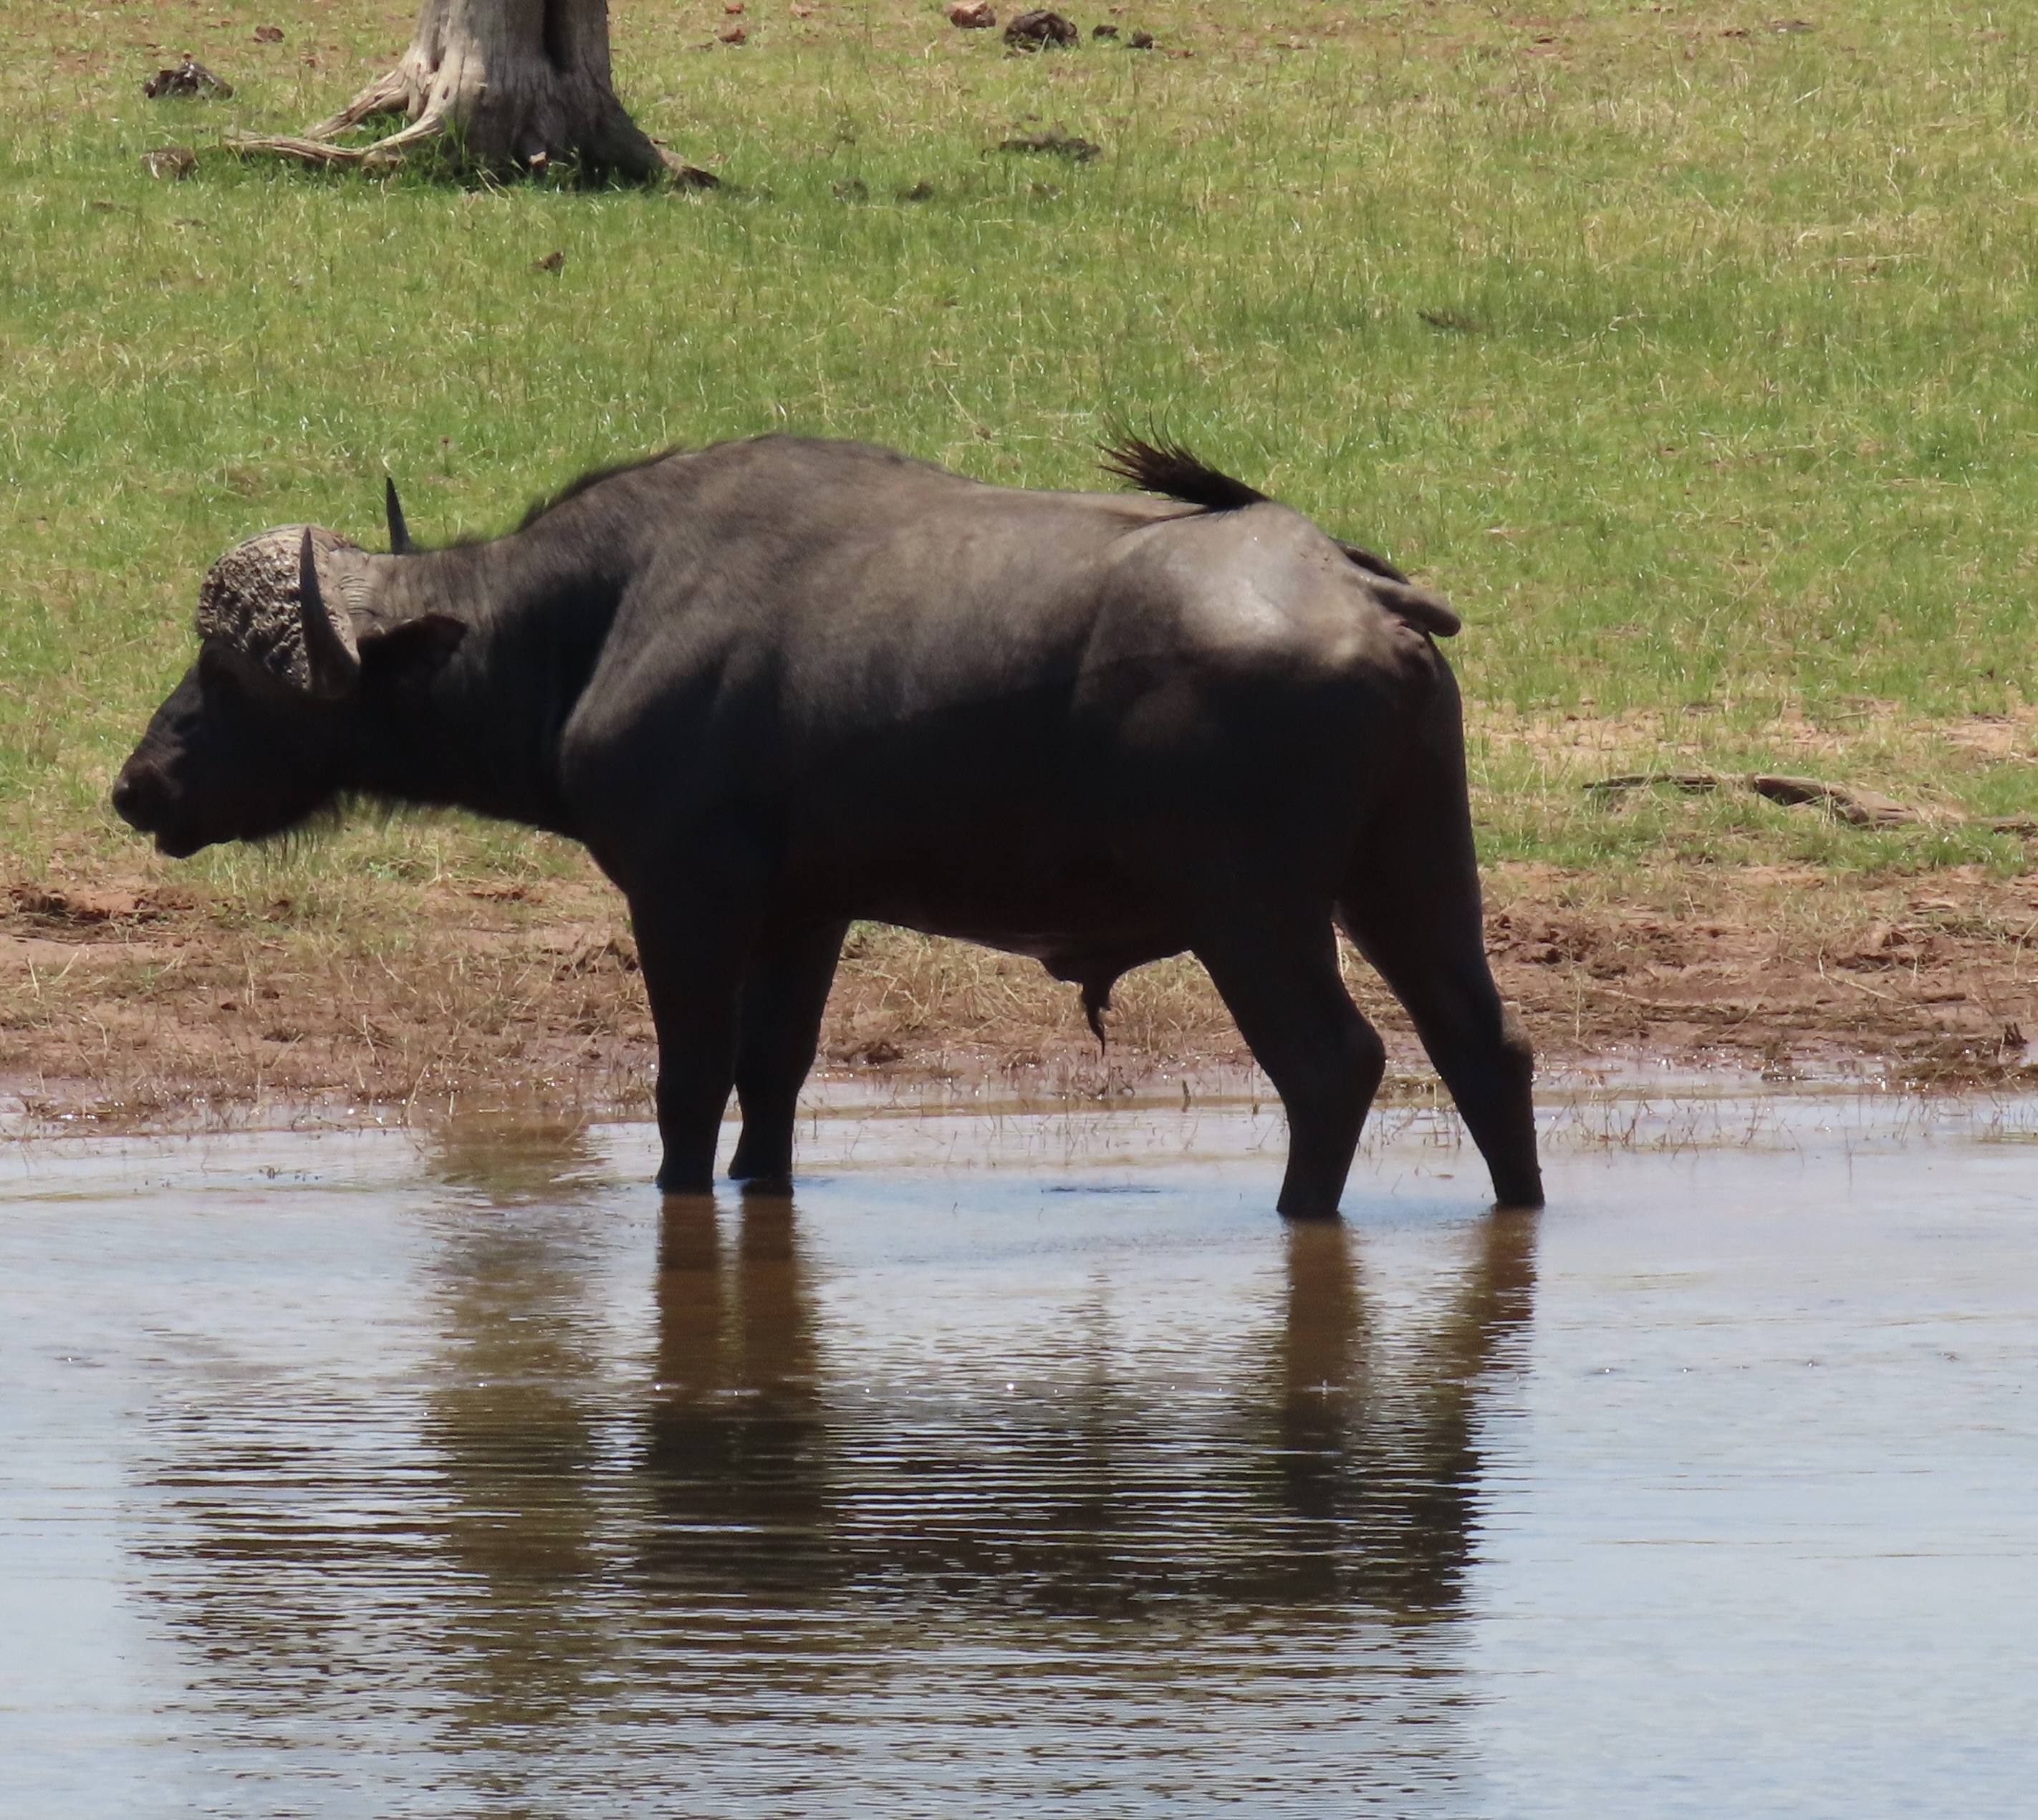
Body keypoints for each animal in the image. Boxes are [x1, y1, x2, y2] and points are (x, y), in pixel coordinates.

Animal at [112, 435, 1542, 1216]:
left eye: (229, 674)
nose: (137, 786)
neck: (599, 619)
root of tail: (1362, 591)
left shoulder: (683, 901)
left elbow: (689, 1082)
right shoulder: (805, 915)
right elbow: (776, 1078)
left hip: (1252, 913)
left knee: (1332, 1066)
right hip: (1414, 881)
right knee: (1487, 1050)